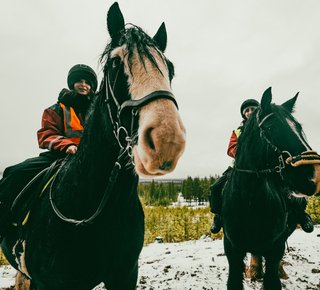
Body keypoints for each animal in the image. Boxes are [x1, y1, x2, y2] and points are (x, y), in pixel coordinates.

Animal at [221, 86, 320, 290]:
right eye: (271, 128)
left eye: (299, 128)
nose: (316, 175)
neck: (249, 202)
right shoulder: (232, 249)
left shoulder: (275, 246)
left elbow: (273, 276)